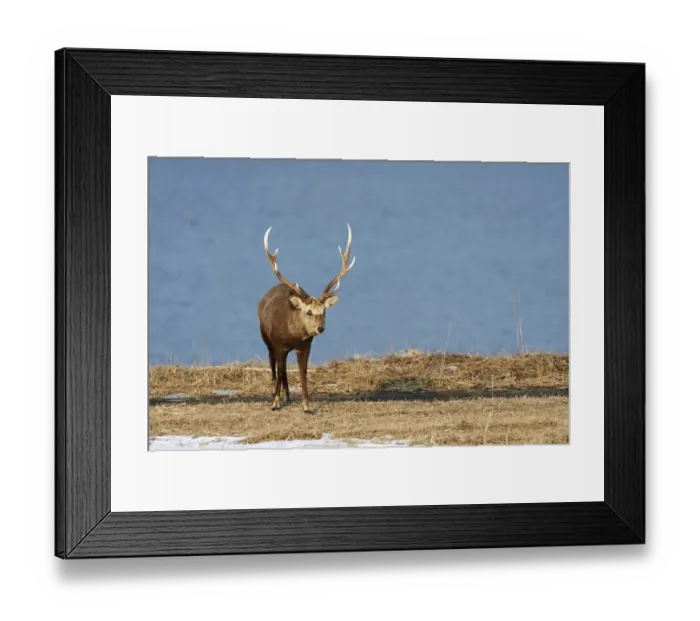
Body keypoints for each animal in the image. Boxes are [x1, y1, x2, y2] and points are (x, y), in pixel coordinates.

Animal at [257, 224, 355, 413]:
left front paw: (307, 406)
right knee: (274, 365)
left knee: (283, 369)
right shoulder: (278, 343)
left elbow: (303, 373)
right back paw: (276, 395)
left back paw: (287, 396)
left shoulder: (305, 346)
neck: (293, 335)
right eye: (309, 312)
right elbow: (279, 369)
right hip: (265, 338)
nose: (320, 328)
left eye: (324, 311)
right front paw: (275, 402)